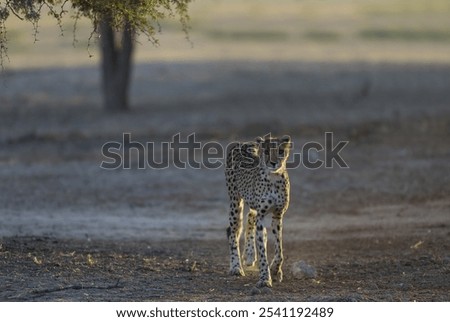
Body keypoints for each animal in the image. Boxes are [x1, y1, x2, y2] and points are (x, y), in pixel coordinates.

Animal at [225, 133, 292, 286]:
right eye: (266, 152)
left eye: (280, 151)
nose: (273, 163)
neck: (274, 178)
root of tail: (242, 143)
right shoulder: (262, 216)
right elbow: (262, 251)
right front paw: (265, 278)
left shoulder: (277, 215)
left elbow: (279, 250)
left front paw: (275, 270)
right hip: (235, 203)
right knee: (233, 233)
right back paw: (236, 266)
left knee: (250, 217)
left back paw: (249, 254)